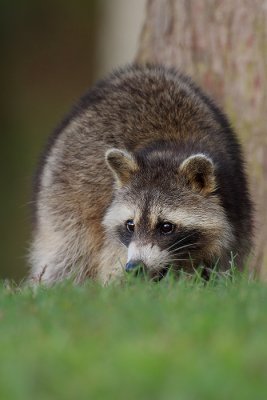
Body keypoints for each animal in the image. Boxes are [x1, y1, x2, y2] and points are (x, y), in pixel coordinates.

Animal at [29, 64, 253, 282]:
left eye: (166, 226)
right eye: (130, 225)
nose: (135, 267)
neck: (169, 149)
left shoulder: (237, 205)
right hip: (63, 198)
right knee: (68, 254)